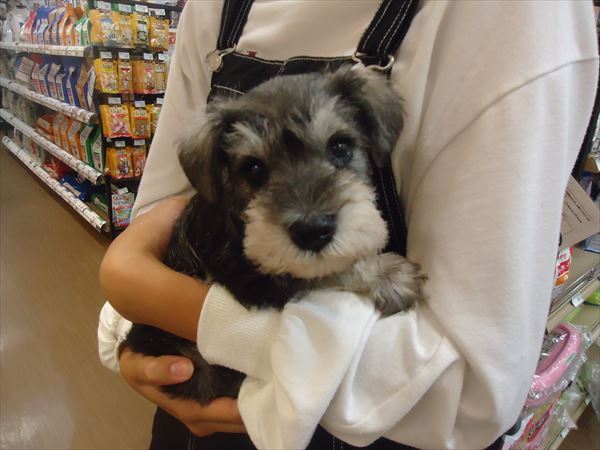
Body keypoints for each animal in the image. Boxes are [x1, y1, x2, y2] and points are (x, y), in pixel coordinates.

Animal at [122, 66, 426, 405]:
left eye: (340, 146)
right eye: (254, 168)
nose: (313, 231)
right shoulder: (256, 281)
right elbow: (322, 273)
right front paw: (389, 274)